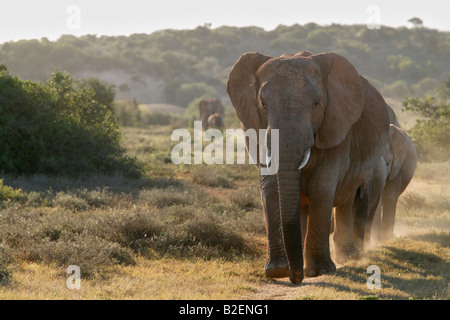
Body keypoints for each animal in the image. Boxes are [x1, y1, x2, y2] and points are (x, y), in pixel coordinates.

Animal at [227, 48, 392, 284]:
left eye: (316, 104)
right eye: (263, 103)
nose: (295, 279)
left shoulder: (336, 126)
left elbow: (321, 187)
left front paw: (320, 271)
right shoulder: (254, 126)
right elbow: (270, 186)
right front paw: (277, 271)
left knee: (346, 200)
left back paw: (347, 257)